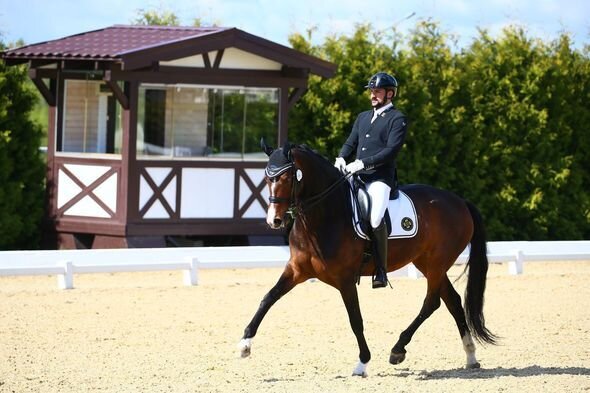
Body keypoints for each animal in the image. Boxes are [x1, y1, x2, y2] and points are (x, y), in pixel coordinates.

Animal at [238, 142, 498, 376]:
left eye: (287, 177)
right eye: (267, 177)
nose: (274, 220)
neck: (325, 215)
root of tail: (460, 201)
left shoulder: (345, 279)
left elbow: (355, 319)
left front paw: (362, 363)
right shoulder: (296, 270)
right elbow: (268, 298)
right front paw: (244, 344)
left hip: (436, 263)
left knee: (432, 302)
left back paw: (398, 349)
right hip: (428, 263)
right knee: (452, 300)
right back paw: (470, 356)